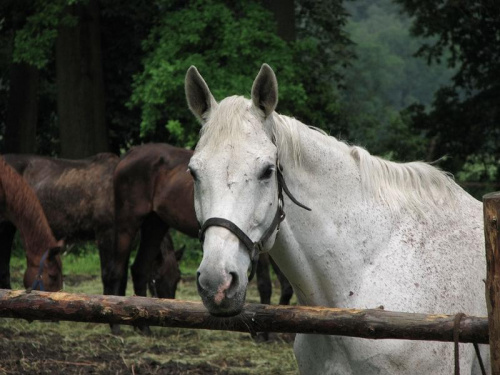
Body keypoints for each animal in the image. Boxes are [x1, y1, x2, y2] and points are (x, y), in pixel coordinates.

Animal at [106, 142, 292, 306]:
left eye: (177, 278)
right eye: (158, 279)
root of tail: (129, 154)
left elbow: (286, 286)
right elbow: (265, 285)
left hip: (155, 225)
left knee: (139, 270)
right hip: (127, 224)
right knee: (116, 272)